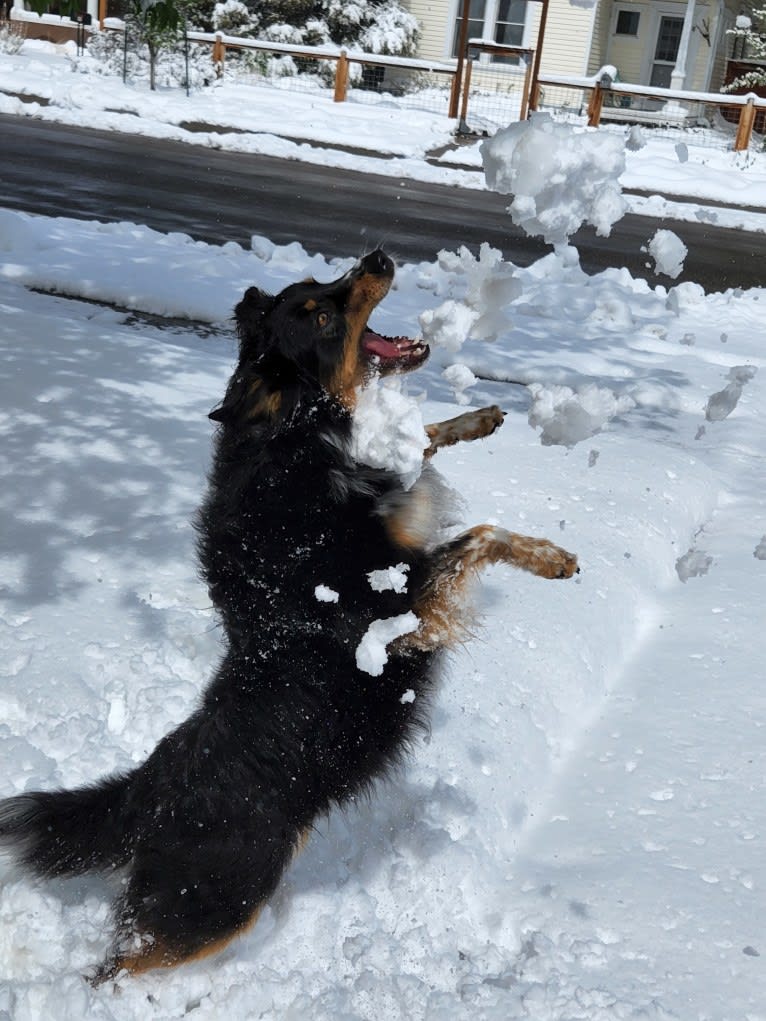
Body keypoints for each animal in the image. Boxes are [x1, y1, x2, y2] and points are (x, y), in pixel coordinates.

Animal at [0, 247, 580, 980]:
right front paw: (553, 557)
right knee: (117, 963)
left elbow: (417, 449)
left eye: (320, 284)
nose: (378, 256)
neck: (293, 444)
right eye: (321, 314)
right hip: (217, 898)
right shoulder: (402, 609)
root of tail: (148, 790)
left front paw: (478, 418)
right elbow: (482, 531)